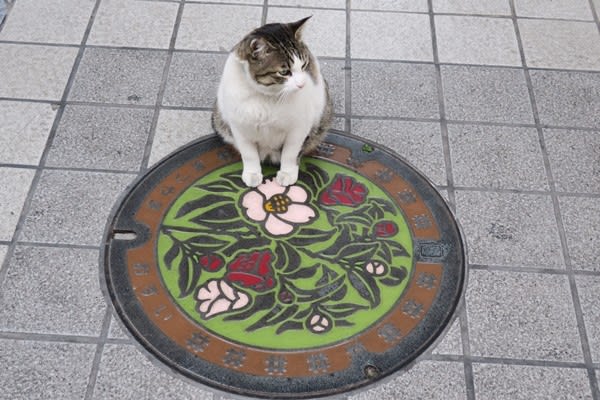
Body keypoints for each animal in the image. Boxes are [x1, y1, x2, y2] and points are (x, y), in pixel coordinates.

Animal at [211, 16, 332, 188]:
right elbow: (248, 154)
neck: (268, 96)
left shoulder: (299, 128)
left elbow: (290, 152)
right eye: (284, 72)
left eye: (304, 65)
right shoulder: (239, 127)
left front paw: (287, 173)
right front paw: (252, 173)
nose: (302, 84)